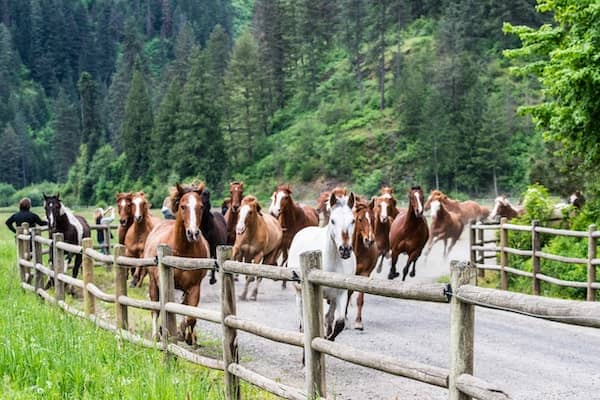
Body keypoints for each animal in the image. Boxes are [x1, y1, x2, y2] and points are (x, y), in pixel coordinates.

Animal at [143, 183, 211, 346]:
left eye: (201, 206)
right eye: (183, 206)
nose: (193, 233)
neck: (182, 251)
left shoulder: (194, 287)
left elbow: (190, 316)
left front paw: (188, 336)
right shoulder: (164, 284)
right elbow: (166, 309)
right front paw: (168, 332)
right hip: (153, 283)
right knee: (155, 308)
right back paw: (156, 334)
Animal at [344, 198, 378, 330]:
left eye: (373, 218)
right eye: (360, 219)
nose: (369, 240)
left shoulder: (364, 274)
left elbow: (360, 298)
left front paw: (358, 322)